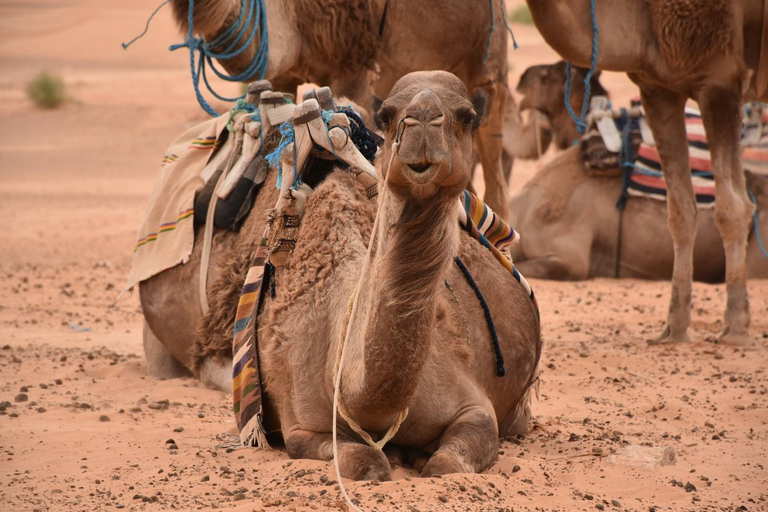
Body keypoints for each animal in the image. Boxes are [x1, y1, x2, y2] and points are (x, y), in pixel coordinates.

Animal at [524, 1, 768, 344]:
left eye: (547, 76)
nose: (521, 79)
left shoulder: (721, 79)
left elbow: (733, 206)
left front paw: (735, 327)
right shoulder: (659, 87)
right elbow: (680, 211)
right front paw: (674, 330)